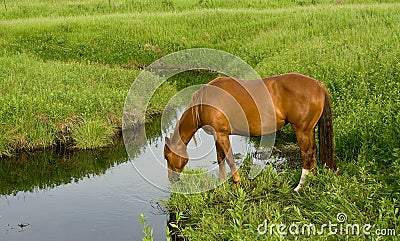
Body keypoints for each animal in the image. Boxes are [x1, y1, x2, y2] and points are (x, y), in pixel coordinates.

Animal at [164, 72, 336, 191]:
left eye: (167, 156)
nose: (171, 179)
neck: (205, 102)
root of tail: (317, 84)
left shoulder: (222, 135)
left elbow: (230, 159)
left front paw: (237, 183)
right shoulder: (218, 135)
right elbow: (220, 158)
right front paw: (221, 183)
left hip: (302, 130)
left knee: (307, 154)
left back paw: (299, 186)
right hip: (309, 130)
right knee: (313, 152)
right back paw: (311, 181)